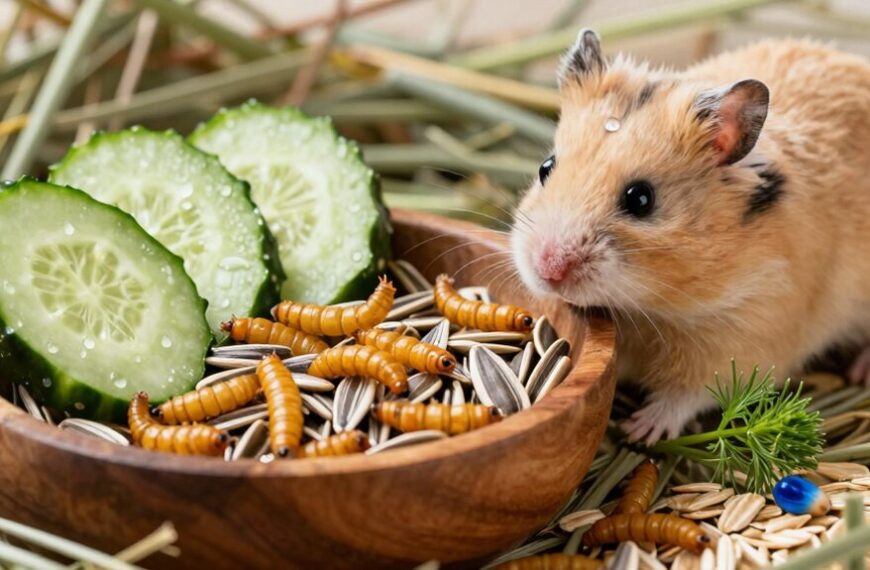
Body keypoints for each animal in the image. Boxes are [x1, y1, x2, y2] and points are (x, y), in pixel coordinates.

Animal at [511, 30, 870, 444]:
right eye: (545, 167)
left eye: (641, 199)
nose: (547, 270)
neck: (651, 308)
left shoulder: (746, 339)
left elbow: (686, 396)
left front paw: (639, 431)